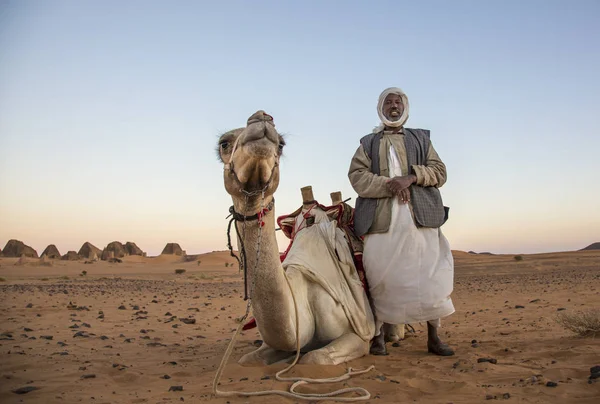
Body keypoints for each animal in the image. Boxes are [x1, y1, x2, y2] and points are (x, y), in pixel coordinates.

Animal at [218, 110, 372, 366]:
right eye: (224, 144)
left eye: (281, 145)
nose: (262, 118)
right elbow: (248, 360)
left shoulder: (359, 334)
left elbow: (313, 359)